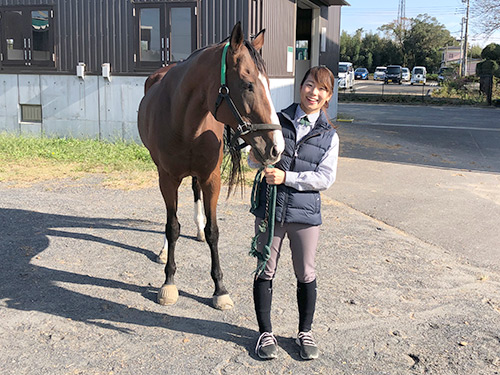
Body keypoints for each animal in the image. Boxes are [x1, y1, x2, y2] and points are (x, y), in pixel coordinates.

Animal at [139, 23, 284, 312]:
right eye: (248, 85)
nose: (276, 148)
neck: (185, 123)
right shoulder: (167, 178)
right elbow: (172, 226)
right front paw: (169, 282)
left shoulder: (211, 178)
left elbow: (213, 232)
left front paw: (220, 289)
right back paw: (163, 250)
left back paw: (197, 230)